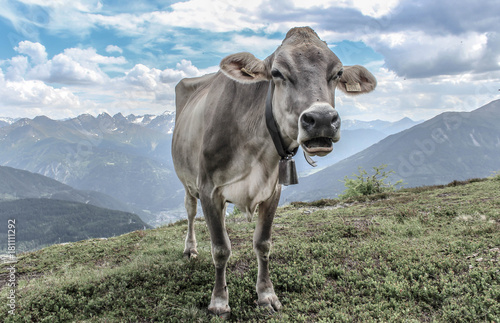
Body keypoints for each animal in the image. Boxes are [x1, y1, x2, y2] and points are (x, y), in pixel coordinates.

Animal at [172, 26, 376, 318]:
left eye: (337, 73)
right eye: (277, 73)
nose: (322, 120)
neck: (254, 144)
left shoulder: (272, 190)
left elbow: (263, 243)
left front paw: (266, 295)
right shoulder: (209, 188)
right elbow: (220, 248)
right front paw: (219, 301)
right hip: (187, 180)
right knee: (189, 211)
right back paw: (190, 249)